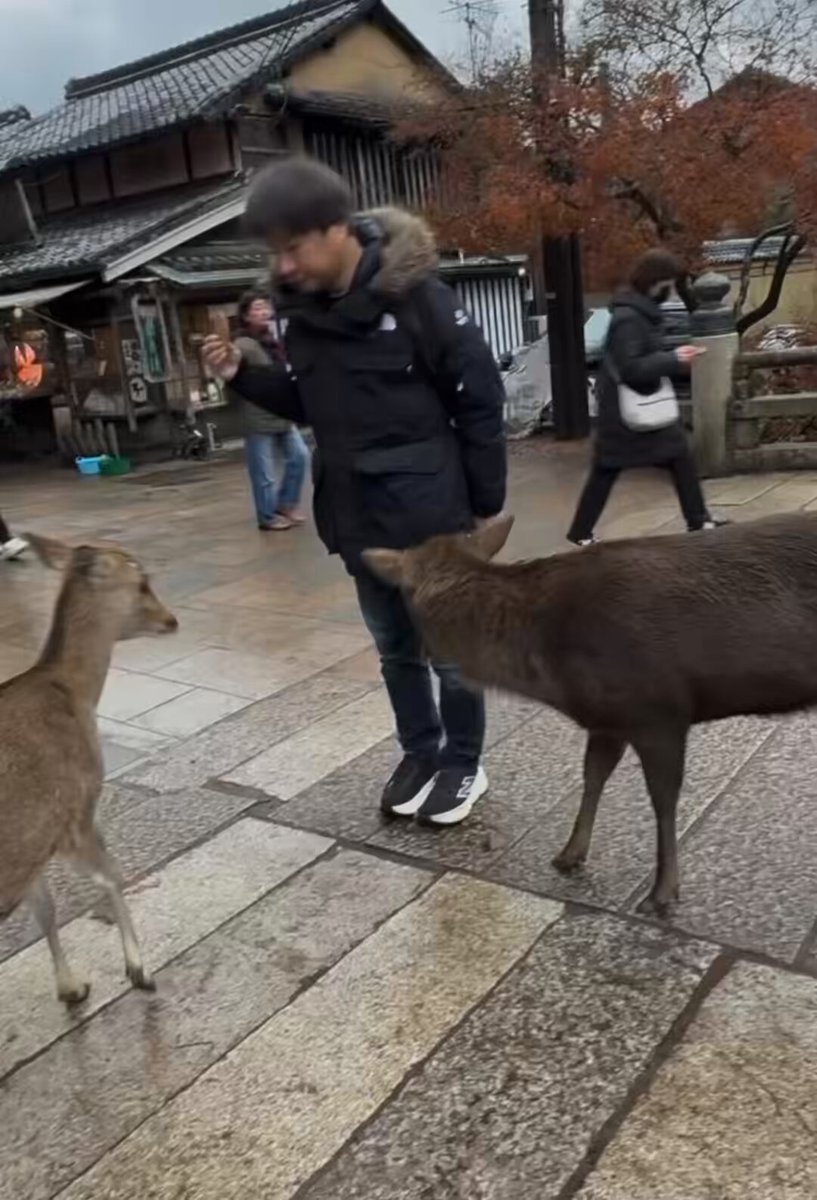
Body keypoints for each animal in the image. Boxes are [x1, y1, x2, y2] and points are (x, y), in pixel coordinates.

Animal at [0, 535, 178, 1005]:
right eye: (142, 582)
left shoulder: (36, 843)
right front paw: (139, 970)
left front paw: (71, 987)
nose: (171, 620)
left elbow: (45, 909)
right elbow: (112, 876)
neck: (75, 694)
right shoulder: (75, 812)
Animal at [364, 512, 817, 916]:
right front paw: (569, 854)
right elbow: (593, 776)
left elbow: (663, 799)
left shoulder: (659, 710)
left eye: (405, 599)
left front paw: (662, 893)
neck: (553, 674)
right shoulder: (607, 720)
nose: (423, 652)